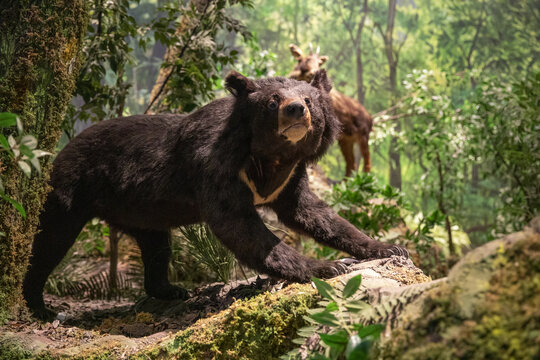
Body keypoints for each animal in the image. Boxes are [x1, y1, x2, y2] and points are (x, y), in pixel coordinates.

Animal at [288, 43, 374, 176]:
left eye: (319, 63)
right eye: (306, 59)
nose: (313, 72)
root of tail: (370, 118)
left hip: (363, 136)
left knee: (367, 163)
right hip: (346, 140)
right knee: (351, 164)